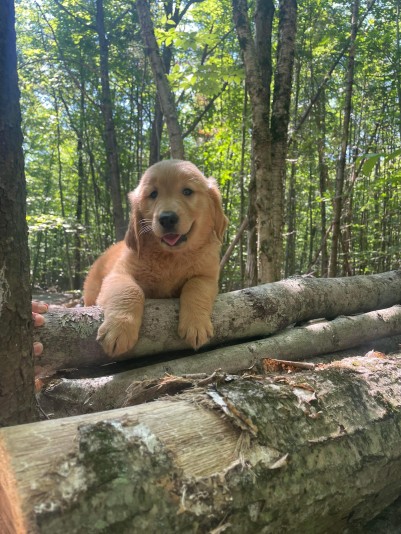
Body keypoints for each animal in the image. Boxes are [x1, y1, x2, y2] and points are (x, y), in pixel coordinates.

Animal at [83, 159, 227, 360]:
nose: (167, 218)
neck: (171, 257)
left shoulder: (207, 276)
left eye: (187, 191)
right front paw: (119, 330)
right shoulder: (119, 274)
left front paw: (196, 324)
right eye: (153, 194)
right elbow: (130, 291)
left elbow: (196, 287)